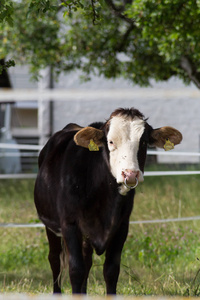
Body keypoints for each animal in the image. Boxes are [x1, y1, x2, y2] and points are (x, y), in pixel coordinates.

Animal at [34, 107, 183, 292]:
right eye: (111, 142)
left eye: (143, 142)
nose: (130, 174)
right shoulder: (69, 224)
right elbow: (75, 270)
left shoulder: (121, 226)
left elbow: (111, 270)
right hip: (51, 225)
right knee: (55, 260)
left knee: (87, 261)